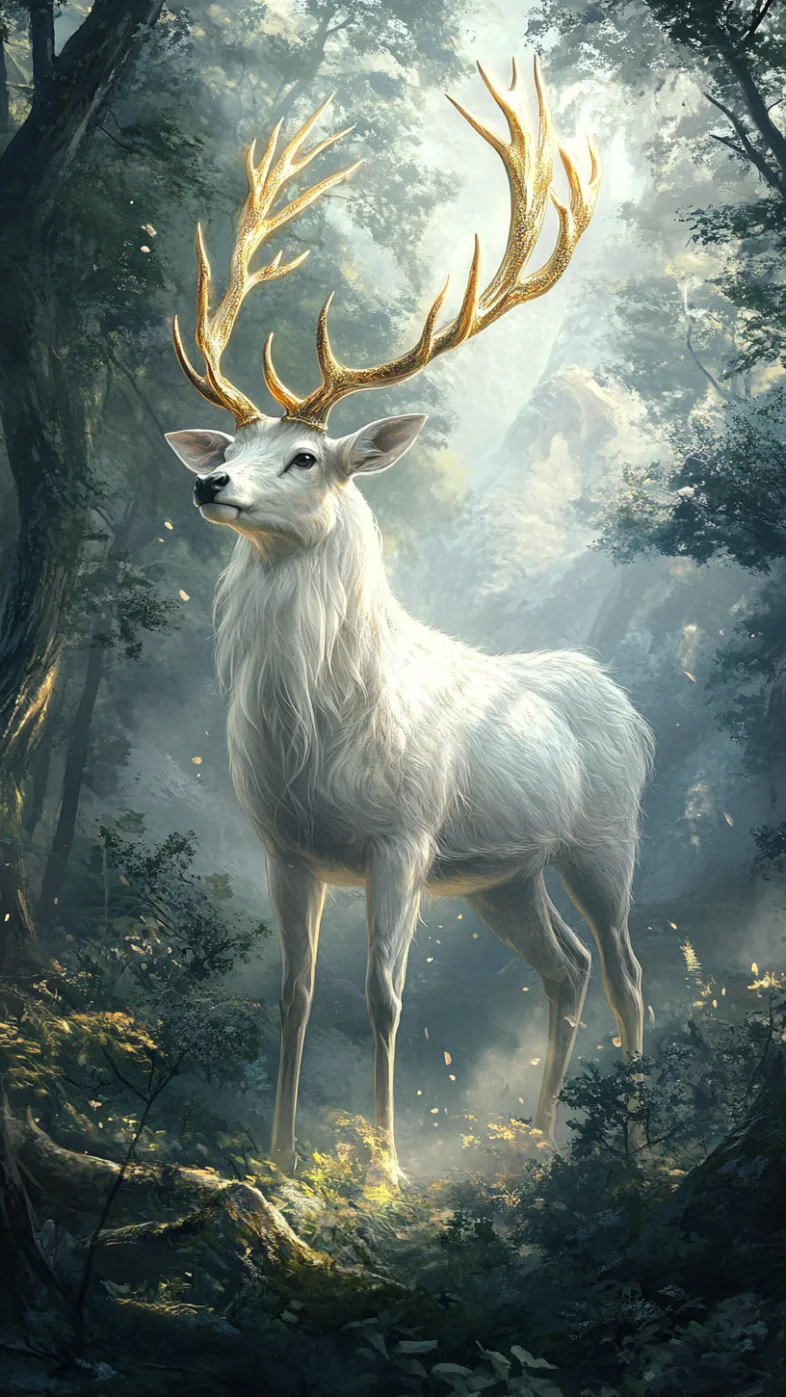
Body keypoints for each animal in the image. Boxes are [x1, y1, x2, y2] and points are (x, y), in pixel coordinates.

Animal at [165, 59, 655, 1181]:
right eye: (235, 441)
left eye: (307, 454)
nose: (211, 483)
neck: (318, 728)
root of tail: (629, 706)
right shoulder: (287, 847)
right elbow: (296, 994)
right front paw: (278, 1154)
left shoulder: (404, 836)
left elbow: (385, 996)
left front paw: (385, 1170)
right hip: (503, 876)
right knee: (564, 967)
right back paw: (535, 1140)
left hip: (605, 838)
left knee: (626, 971)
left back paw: (636, 1144)